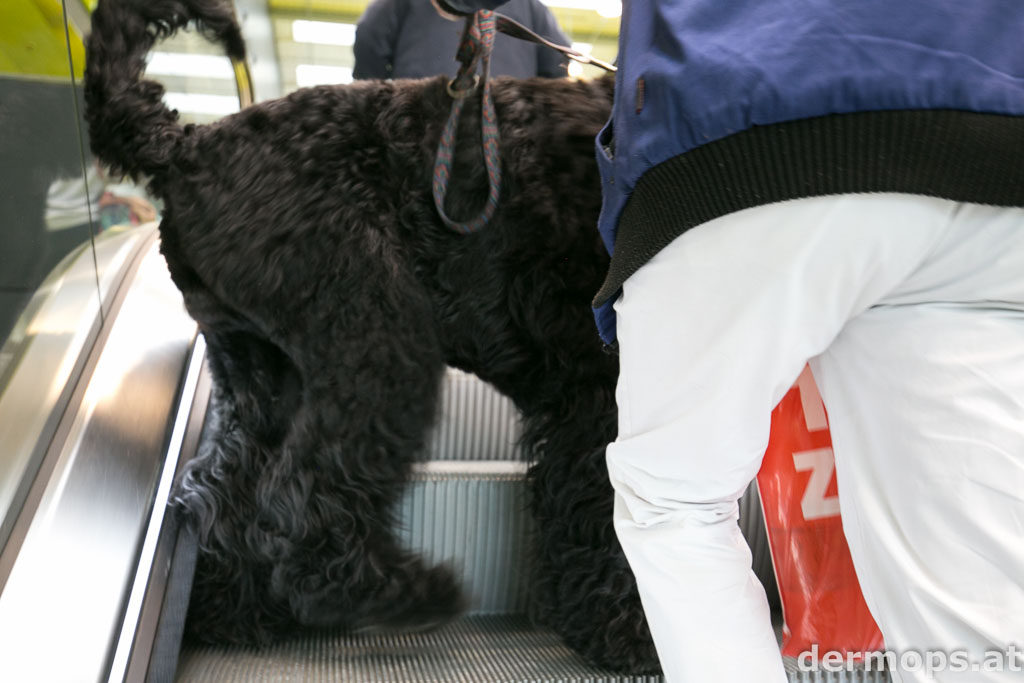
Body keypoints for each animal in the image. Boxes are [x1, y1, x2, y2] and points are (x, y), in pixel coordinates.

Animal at [81, 0, 655, 671]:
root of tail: (185, 145)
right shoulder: (605, 391)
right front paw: (632, 632)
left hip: (260, 368)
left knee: (224, 486)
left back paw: (237, 614)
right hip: (378, 334)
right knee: (302, 496)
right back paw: (397, 596)